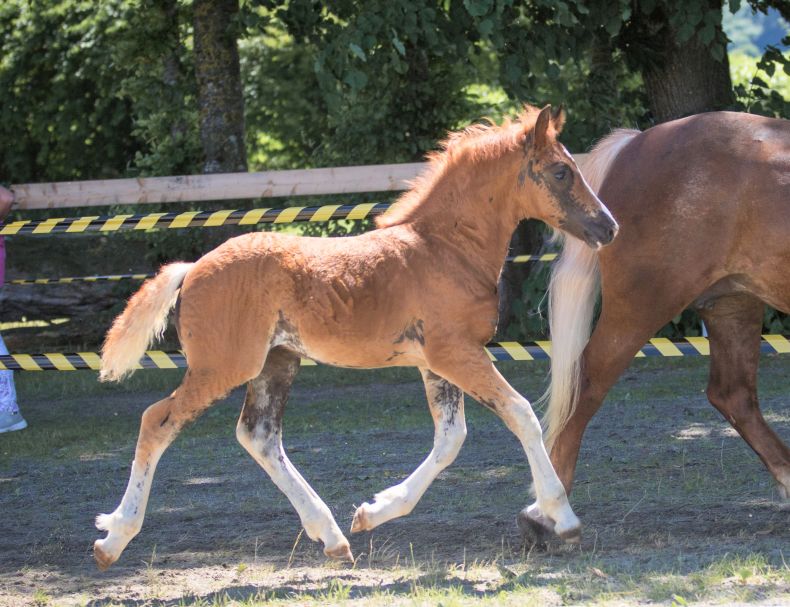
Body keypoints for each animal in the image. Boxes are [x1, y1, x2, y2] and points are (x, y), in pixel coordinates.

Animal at [93, 107, 620, 572]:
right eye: (560, 172)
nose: (608, 226)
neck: (445, 249)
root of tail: (193, 268)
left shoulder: (436, 362)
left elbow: (451, 438)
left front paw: (374, 511)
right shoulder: (456, 353)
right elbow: (521, 415)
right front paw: (562, 518)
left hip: (277, 361)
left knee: (259, 435)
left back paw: (332, 537)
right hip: (223, 366)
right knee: (157, 421)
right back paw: (113, 538)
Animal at [524, 111, 788, 544]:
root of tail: (633, 143)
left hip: (733, 304)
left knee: (733, 395)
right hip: (642, 307)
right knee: (586, 382)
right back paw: (550, 515)